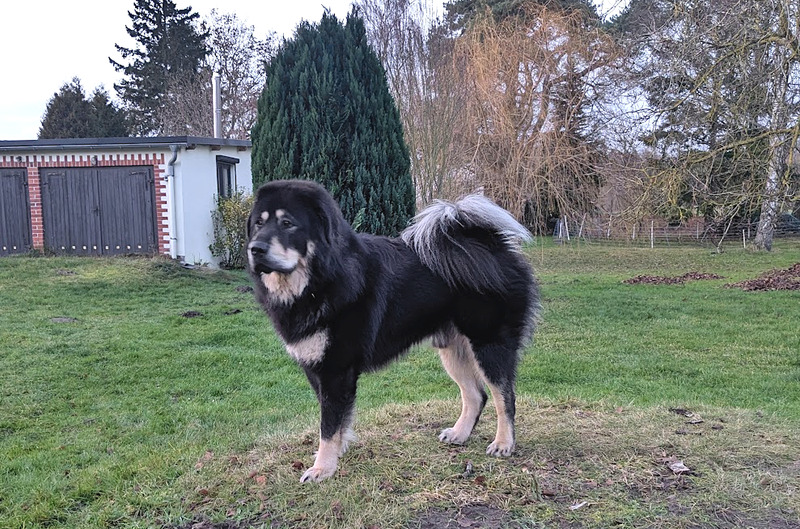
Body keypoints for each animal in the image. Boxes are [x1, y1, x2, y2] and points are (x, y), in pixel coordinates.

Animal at [246, 179, 539, 482]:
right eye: (258, 224)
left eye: (288, 224)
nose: (255, 249)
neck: (319, 281)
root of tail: (496, 247)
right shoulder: (318, 370)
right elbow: (338, 420)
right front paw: (338, 452)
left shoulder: (336, 371)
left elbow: (327, 426)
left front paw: (322, 468)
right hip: (452, 349)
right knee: (476, 395)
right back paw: (459, 434)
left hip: (489, 344)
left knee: (505, 397)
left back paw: (504, 443)